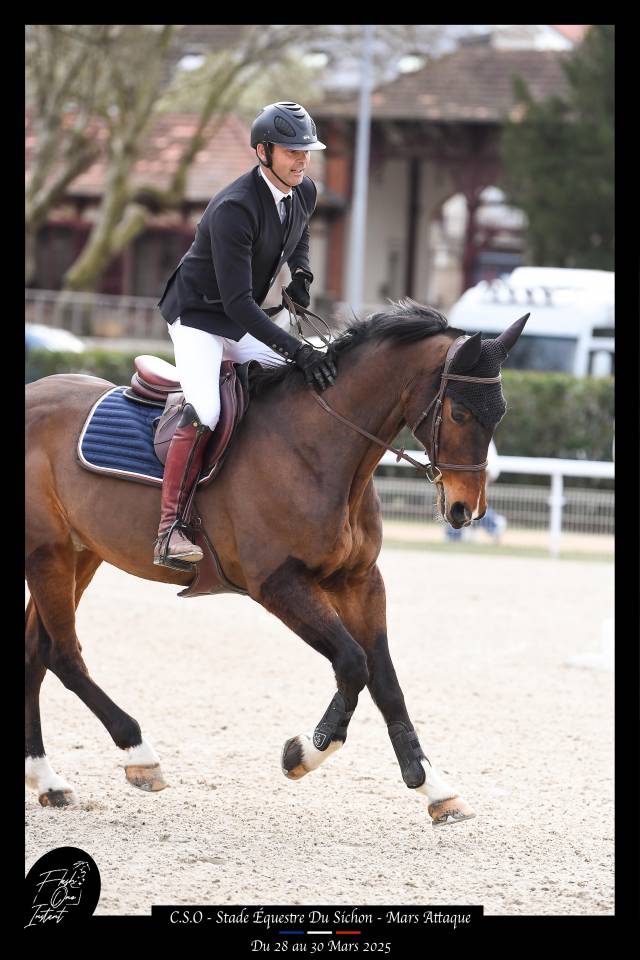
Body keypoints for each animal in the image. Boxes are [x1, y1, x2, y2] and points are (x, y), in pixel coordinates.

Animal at [25, 300, 528, 825]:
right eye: (459, 412)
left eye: (499, 414)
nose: (467, 510)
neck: (318, 447)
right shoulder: (279, 584)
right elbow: (353, 663)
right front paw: (304, 751)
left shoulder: (360, 582)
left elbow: (385, 681)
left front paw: (433, 787)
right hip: (48, 554)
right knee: (62, 655)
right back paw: (139, 755)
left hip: (80, 554)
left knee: (35, 652)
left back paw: (48, 780)